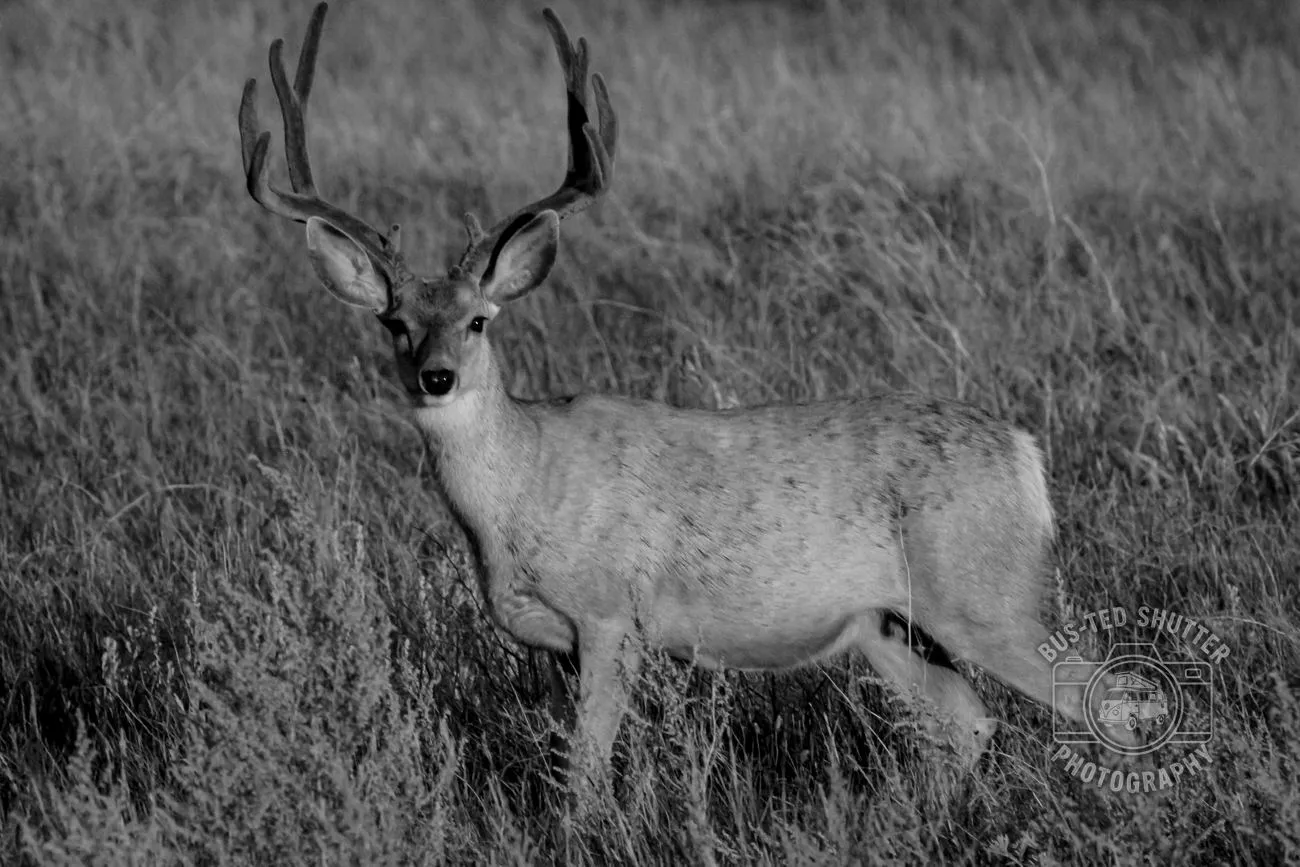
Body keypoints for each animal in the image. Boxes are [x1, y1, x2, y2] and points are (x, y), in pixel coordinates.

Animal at [237, 3, 1132, 788]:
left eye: (479, 320)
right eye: (395, 322)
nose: (436, 376)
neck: (524, 489)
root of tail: (1024, 451)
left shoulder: (610, 618)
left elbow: (584, 774)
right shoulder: (557, 643)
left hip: (988, 593)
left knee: (1115, 701)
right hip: (890, 626)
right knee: (972, 723)